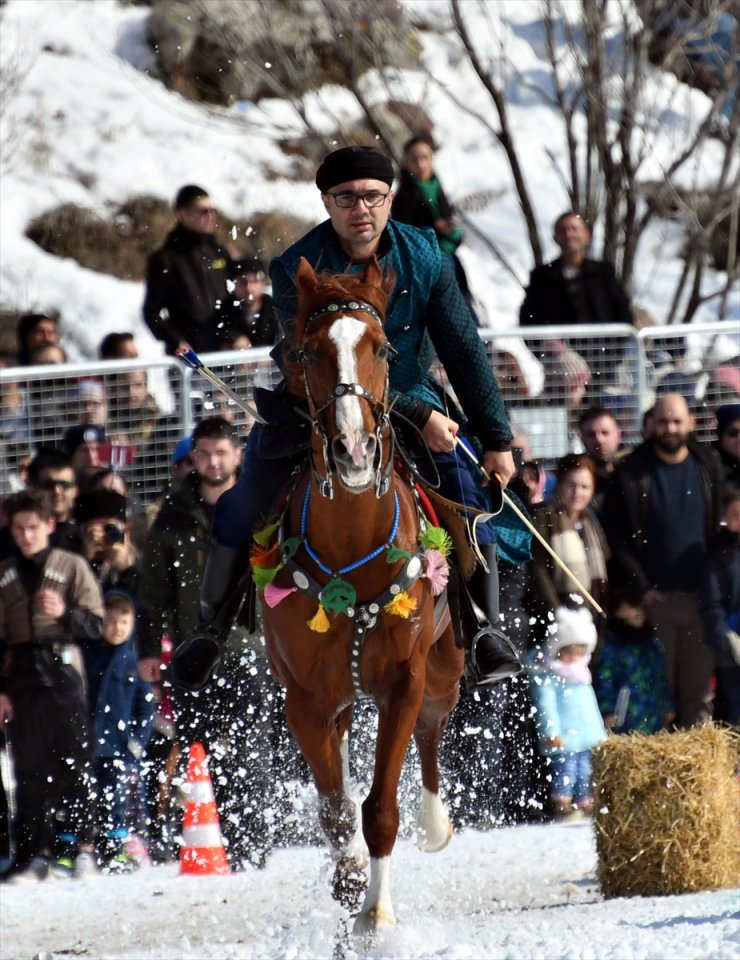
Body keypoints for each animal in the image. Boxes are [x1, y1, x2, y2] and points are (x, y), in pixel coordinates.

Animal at [260, 258, 462, 932]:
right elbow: (337, 811)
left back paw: (435, 823)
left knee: (433, 726)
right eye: (306, 352)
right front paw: (350, 885)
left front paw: (377, 914)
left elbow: (379, 807)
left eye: (384, 348)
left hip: (446, 664)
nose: (352, 449)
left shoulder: (404, 677)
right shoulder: (304, 700)